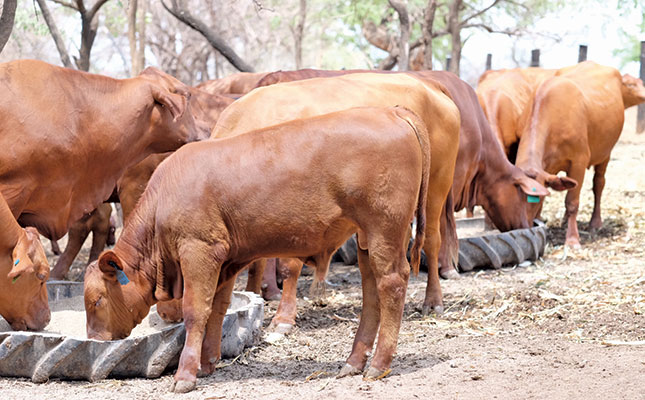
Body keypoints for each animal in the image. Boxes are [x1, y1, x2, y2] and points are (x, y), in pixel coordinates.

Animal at [83, 105, 430, 390]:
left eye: (97, 300)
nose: (94, 339)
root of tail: (392, 111)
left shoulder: (199, 251)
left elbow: (196, 311)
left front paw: (185, 375)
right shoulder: (224, 259)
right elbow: (218, 308)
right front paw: (207, 363)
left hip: (385, 229)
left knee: (391, 283)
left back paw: (378, 365)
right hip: (367, 239)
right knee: (372, 291)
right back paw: (354, 362)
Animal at [516, 61, 645, 247]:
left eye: (535, 198)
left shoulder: (578, 162)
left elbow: (572, 202)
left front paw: (572, 239)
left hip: (605, 153)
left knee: (598, 184)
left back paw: (595, 222)